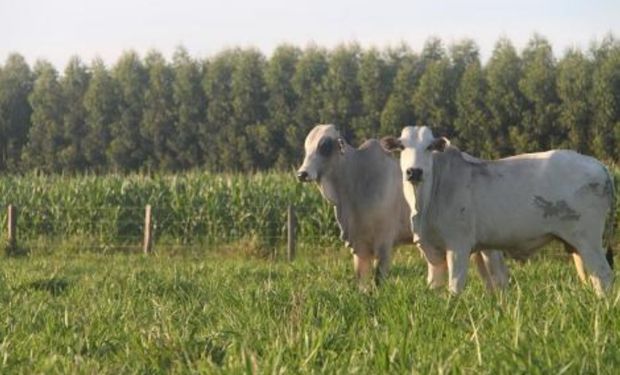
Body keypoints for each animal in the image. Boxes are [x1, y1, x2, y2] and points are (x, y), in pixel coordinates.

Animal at [382, 126, 616, 296]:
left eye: (430, 146)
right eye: (401, 146)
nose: (414, 171)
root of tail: (600, 167)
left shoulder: (459, 246)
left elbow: (456, 287)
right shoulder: (433, 251)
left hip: (588, 240)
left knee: (604, 276)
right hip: (576, 245)